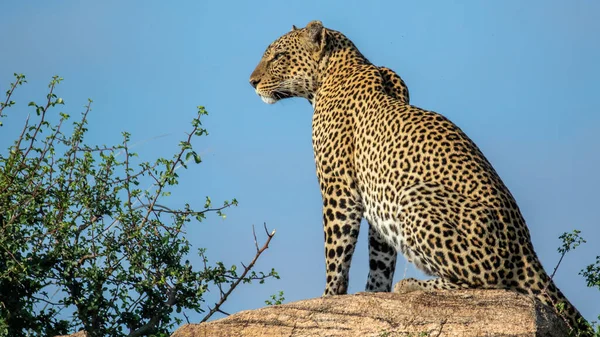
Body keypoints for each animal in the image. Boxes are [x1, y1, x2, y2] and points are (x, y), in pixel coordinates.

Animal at [247, 21, 592, 334]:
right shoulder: (377, 199)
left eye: (278, 56)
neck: (333, 72)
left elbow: (336, 252)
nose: (252, 82)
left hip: (415, 198)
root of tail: (525, 247)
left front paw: (329, 298)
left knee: (490, 282)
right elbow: (380, 259)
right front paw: (372, 296)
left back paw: (414, 285)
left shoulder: (339, 190)